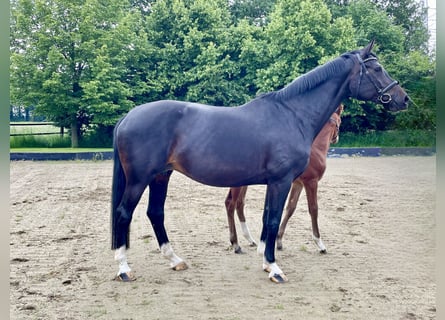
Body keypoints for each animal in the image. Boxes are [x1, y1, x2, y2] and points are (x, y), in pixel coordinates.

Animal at [225, 105, 344, 255]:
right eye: (340, 122)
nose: (336, 138)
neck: (315, 150)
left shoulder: (298, 183)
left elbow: (290, 208)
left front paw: (279, 240)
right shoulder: (311, 182)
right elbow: (313, 209)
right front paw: (320, 244)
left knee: (239, 204)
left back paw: (250, 239)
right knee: (231, 204)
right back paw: (236, 244)